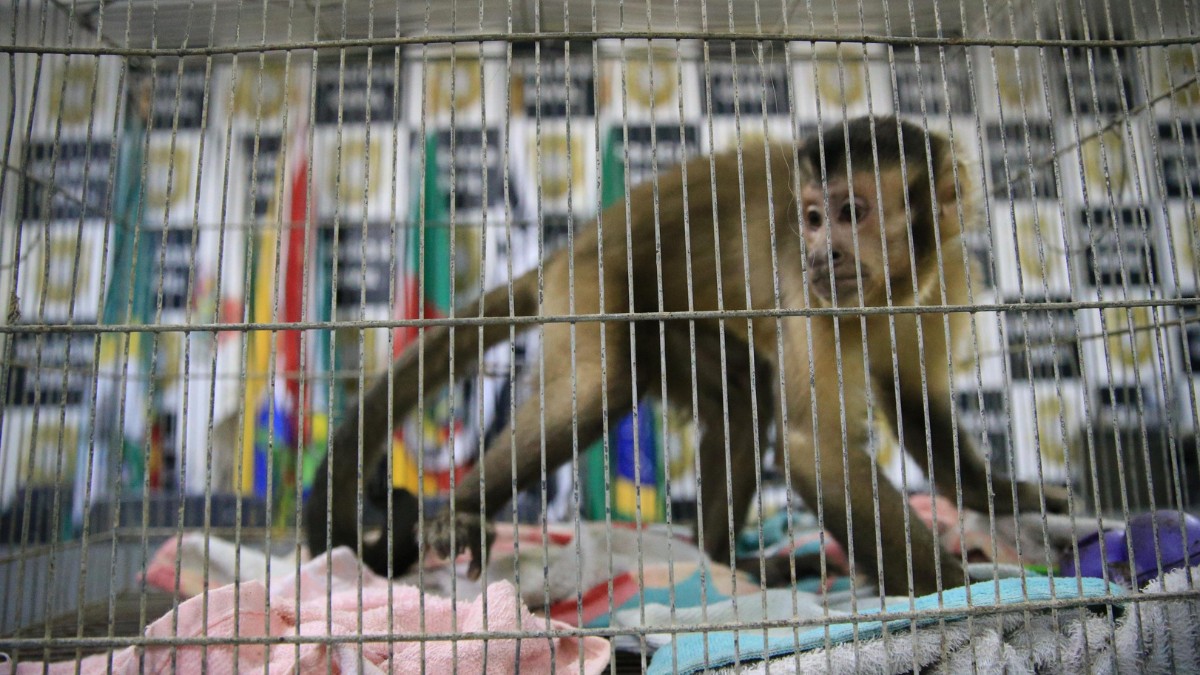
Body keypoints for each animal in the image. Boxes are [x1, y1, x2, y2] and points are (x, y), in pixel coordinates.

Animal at [305, 116, 1068, 596]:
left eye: (851, 213)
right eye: (813, 218)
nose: (823, 253)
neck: (888, 290)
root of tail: (569, 246)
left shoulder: (947, 281)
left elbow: (913, 403)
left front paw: (1003, 498)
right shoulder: (807, 292)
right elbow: (811, 443)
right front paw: (958, 591)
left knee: (744, 386)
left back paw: (728, 561)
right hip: (592, 289)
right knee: (600, 386)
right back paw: (457, 511)